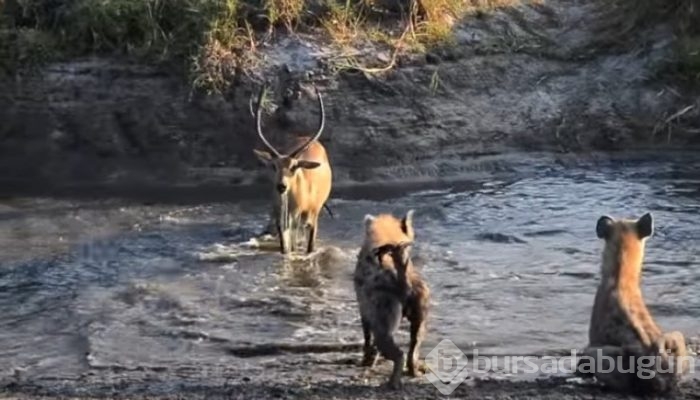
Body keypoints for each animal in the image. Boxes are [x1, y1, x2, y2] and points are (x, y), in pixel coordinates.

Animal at [250, 84, 332, 255]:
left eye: (294, 167)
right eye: (273, 166)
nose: (281, 186)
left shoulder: (312, 218)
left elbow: (310, 247)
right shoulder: (282, 221)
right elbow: (286, 249)